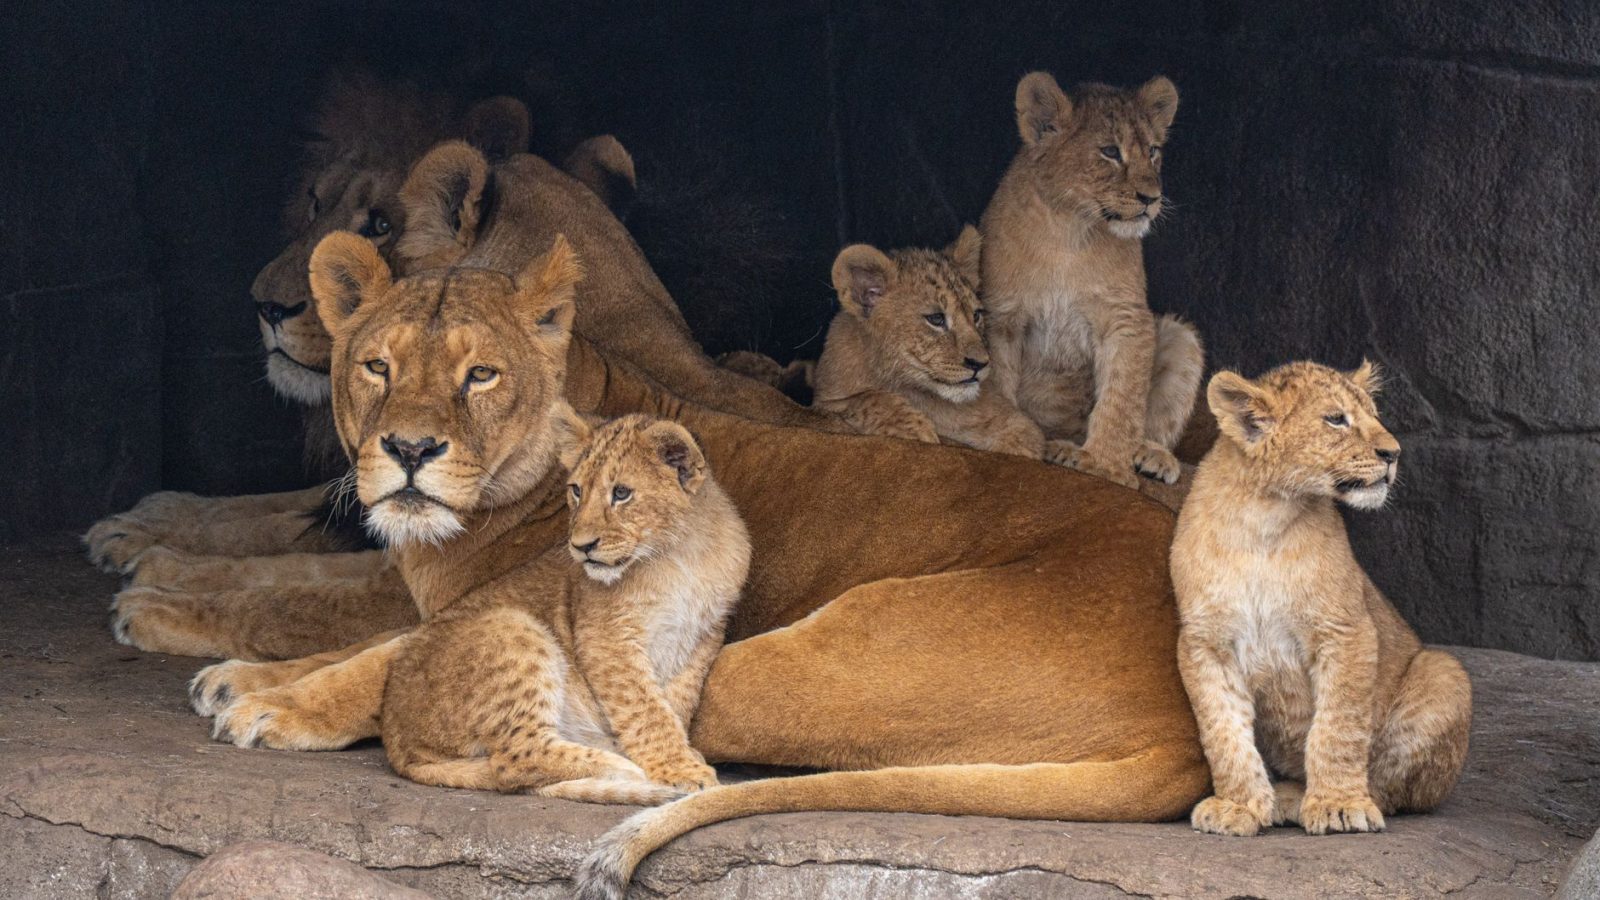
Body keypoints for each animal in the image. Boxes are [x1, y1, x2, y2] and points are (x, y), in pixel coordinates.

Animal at [812, 225, 1048, 457]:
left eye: (976, 315)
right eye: (936, 319)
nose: (980, 364)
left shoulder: (1018, 423)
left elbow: (1020, 443)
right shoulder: (822, 401)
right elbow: (861, 399)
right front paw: (916, 430)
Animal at [981, 71, 1206, 490]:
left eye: (1153, 150)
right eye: (1110, 151)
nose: (1152, 198)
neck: (1068, 231)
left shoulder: (1126, 318)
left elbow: (1121, 397)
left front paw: (1106, 467)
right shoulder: (1001, 318)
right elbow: (999, 384)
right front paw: (1010, 445)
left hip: (1180, 336)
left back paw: (1148, 455)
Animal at [1171, 362, 1470, 837]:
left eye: (1374, 414)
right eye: (1335, 419)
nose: (1394, 453)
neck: (1264, 517)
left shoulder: (1346, 630)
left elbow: (1338, 726)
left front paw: (1337, 805)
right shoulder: (1205, 642)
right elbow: (1222, 730)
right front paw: (1238, 806)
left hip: (1444, 671)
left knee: (1393, 790)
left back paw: (1303, 798)